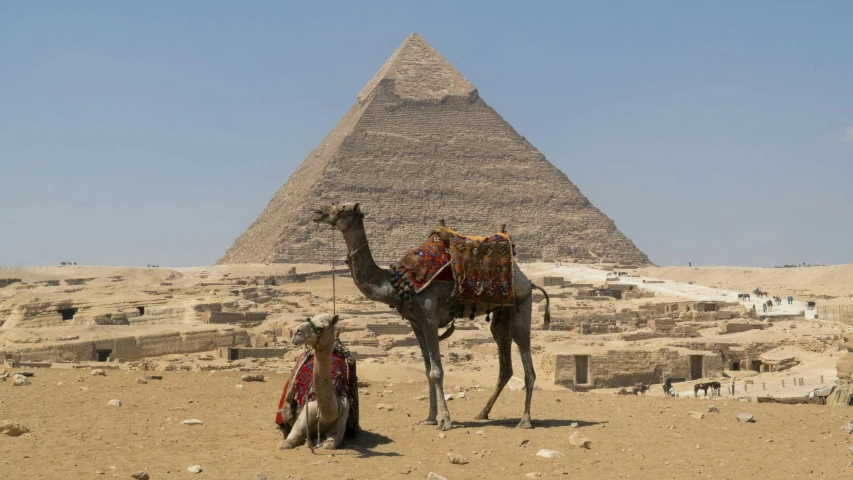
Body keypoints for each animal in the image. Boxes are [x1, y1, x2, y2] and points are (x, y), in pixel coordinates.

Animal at [276, 316, 350, 450]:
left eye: (322, 327)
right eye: (309, 318)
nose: (297, 331)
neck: (327, 416)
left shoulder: (339, 425)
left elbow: (329, 445)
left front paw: (315, 441)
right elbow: (286, 442)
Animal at [312, 202, 544, 432]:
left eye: (342, 208)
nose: (317, 212)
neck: (396, 283)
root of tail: (526, 279)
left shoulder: (430, 319)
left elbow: (436, 371)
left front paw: (446, 421)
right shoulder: (416, 323)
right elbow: (426, 370)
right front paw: (430, 418)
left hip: (522, 303)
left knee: (527, 364)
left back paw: (525, 420)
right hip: (501, 314)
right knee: (504, 363)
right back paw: (483, 412)